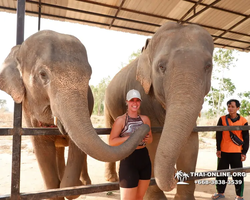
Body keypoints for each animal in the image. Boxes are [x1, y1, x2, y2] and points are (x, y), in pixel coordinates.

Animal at [0, 29, 148, 200]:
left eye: (89, 77)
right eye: (42, 74)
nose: (144, 127)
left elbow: (76, 146)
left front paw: (70, 186)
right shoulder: (27, 111)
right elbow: (41, 147)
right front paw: (54, 190)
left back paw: (84, 183)